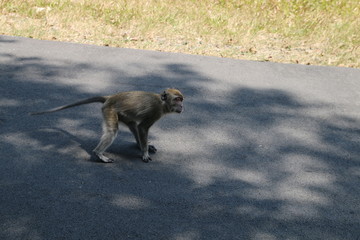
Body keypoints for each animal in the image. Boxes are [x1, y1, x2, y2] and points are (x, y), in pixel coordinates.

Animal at [29, 88, 184, 163]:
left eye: (181, 99)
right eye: (177, 99)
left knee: (132, 124)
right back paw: (98, 153)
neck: (162, 103)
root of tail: (110, 97)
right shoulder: (155, 112)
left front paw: (144, 147)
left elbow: (138, 127)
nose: (182, 106)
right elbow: (142, 128)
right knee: (112, 131)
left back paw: (138, 145)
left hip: (119, 112)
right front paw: (144, 152)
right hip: (109, 110)